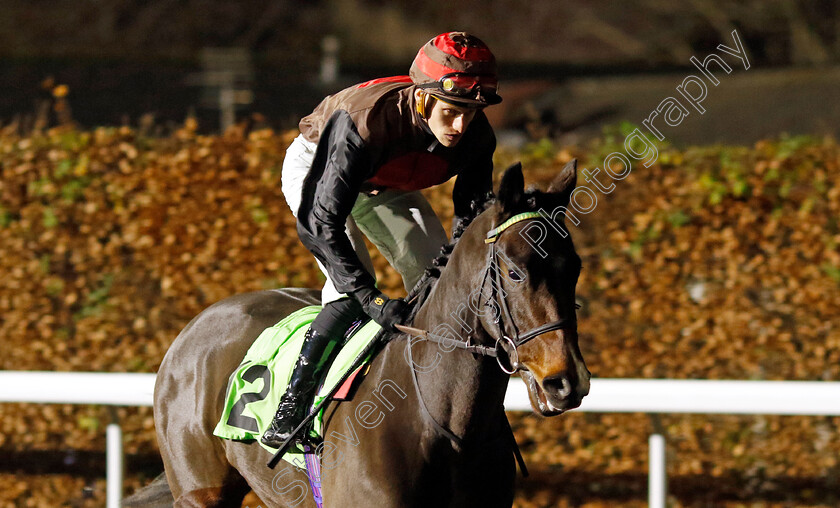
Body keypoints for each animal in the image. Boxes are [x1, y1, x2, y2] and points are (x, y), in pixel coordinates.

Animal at [124, 161, 592, 506]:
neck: (442, 422)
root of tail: (197, 323)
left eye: (575, 269)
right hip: (201, 492)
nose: (567, 382)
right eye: (515, 273)